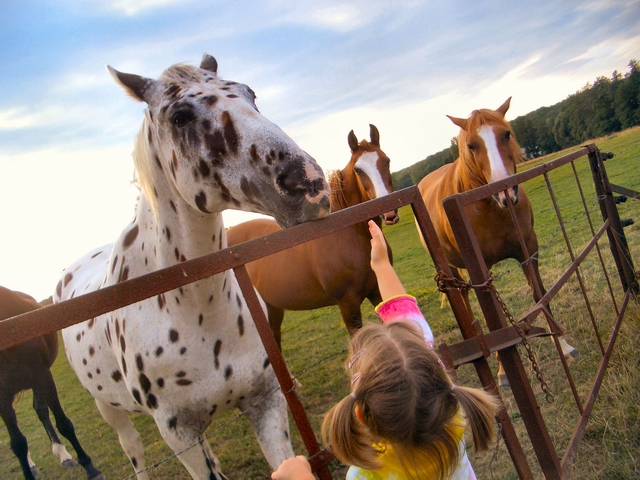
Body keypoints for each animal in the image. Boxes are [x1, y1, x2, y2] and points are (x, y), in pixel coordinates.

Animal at [0, 286, 102, 478]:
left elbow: (63, 424)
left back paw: (63, 455)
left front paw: (90, 468)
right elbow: (18, 443)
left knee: (41, 411)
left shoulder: (42, 376)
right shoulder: (2, 395)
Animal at [55, 54, 330, 478]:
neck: (198, 310)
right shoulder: (178, 433)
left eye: (251, 94)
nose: (309, 184)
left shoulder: (265, 402)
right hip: (109, 408)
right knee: (133, 449)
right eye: (180, 116)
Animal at [228, 124, 398, 346]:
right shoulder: (348, 305)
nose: (389, 212)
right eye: (358, 170)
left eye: (386, 161)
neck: (345, 231)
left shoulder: (378, 291)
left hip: (273, 308)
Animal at [418, 97, 576, 386]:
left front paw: (565, 346)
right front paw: (503, 372)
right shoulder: (481, 270)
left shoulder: (529, 250)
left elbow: (540, 295)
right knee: (464, 300)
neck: (492, 209)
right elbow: (497, 322)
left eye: (506, 134)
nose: (504, 191)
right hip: (452, 268)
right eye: (471, 145)